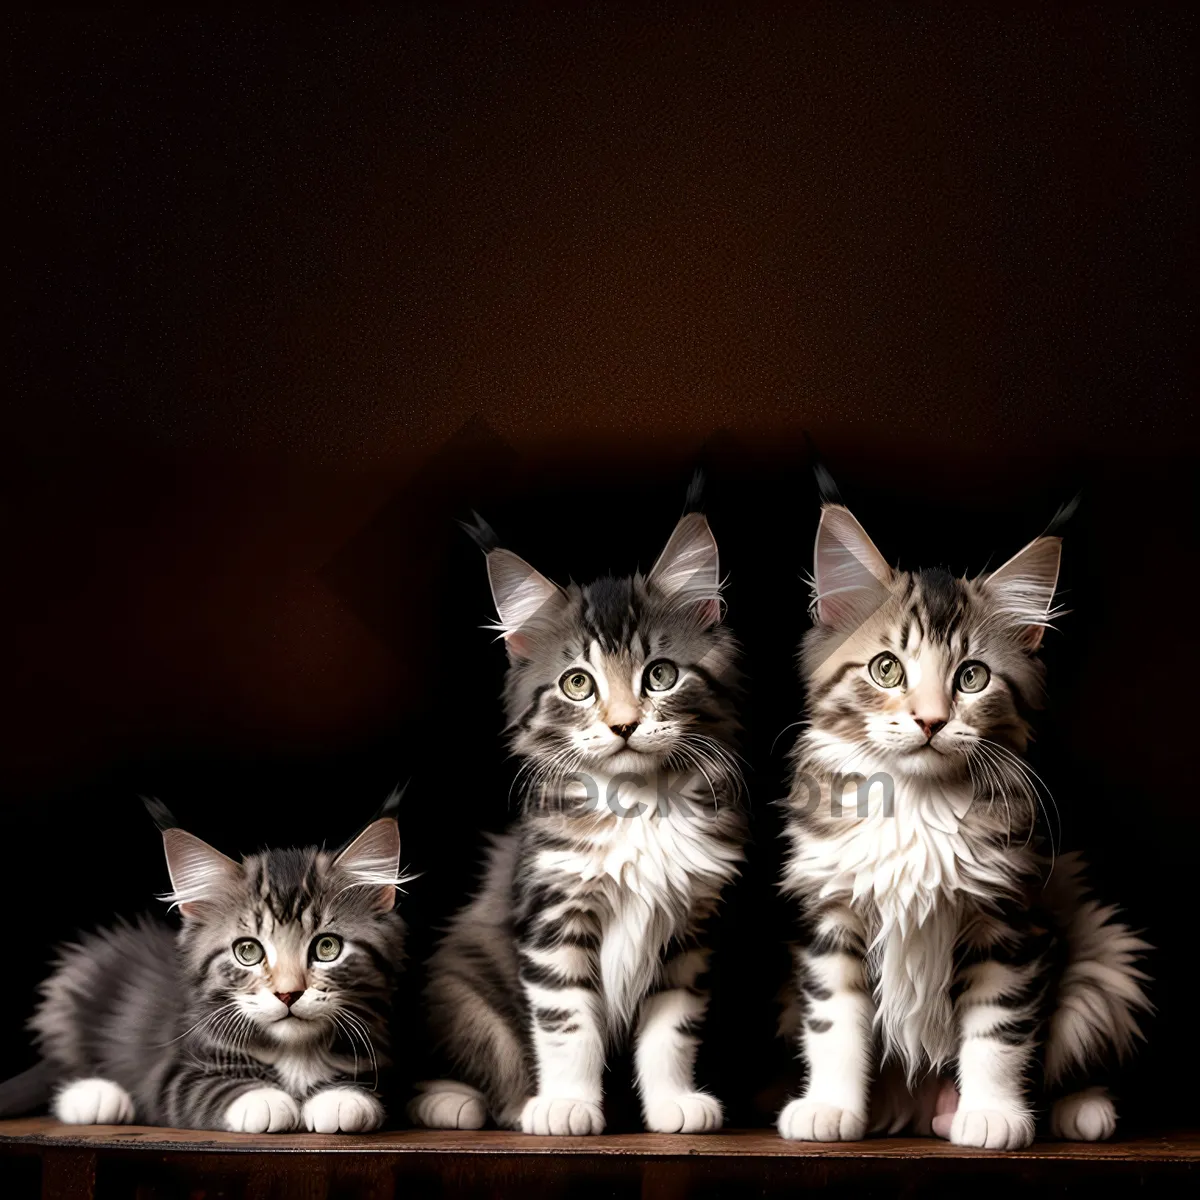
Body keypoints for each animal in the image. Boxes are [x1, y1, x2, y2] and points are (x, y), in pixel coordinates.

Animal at [23, 806, 405, 1132]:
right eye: (248, 951)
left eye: (327, 948)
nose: (288, 994)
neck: (294, 1050)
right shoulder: (171, 1072)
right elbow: (202, 1088)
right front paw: (263, 1099)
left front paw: (343, 1097)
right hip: (69, 992)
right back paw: (94, 1096)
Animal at [415, 504, 748, 1132]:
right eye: (578, 684)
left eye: (660, 675)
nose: (623, 724)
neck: (638, 807)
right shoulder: (553, 914)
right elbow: (568, 1024)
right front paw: (568, 1104)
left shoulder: (687, 932)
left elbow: (671, 1030)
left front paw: (672, 1102)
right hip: (460, 988)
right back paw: (456, 1100)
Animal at [777, 501, 1152, 1147]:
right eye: (886, 669)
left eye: (972, 677)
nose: (930, 721)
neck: (917, 803)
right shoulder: (832, 917)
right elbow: (834, 1024)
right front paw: (828, 1107)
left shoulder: (1009, 921)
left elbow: (997, 1031)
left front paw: (994, 1114)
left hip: (1104, 965)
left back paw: (1075, 1110)